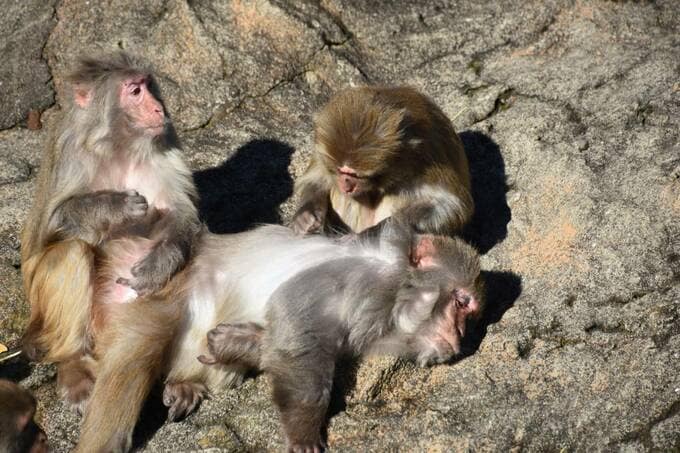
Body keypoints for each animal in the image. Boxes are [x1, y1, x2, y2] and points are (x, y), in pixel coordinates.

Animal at [19, 52, 201, 413]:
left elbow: (183, 215)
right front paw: (115, 206)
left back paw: (183, 378)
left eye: (148, 85)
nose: (158, 109)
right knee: (71, 253)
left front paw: (158, 264)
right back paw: (74, 365)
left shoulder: (166, 142)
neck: (120, 145)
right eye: (134, 91)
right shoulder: (70, 153)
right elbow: (50, 226)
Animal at [291, 86, 473, 236]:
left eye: (356, 175)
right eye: (339, 170)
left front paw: (368, 235)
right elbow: (316, 180)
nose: (346, 186)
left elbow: (450, 207)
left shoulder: (431, 153)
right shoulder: (321, 149)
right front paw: (306, 215)